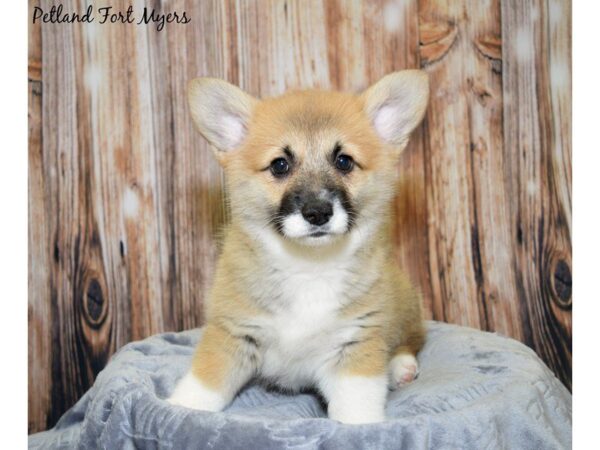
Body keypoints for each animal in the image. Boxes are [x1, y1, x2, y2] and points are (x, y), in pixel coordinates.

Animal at [166, 68, 428, 424]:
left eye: (344, 161)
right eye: (280, 165)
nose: (317, 213)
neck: (308, 266)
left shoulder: (354, 345)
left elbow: (356, 407)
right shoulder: (233, 333)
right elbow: (205, 382)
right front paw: (179, 409)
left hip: (404, 307)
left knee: (413, 339)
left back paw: (399, 366)